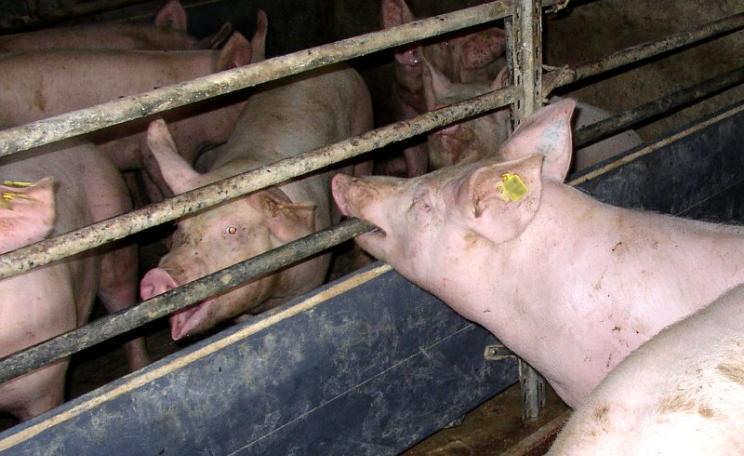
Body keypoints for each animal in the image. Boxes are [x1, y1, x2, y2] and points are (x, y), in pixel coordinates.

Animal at [381, 0, 507, 176]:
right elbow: (413, 155)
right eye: (407, 33)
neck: (422, 101)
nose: (410, 48)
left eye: (444, 42)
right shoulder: (402, 107)